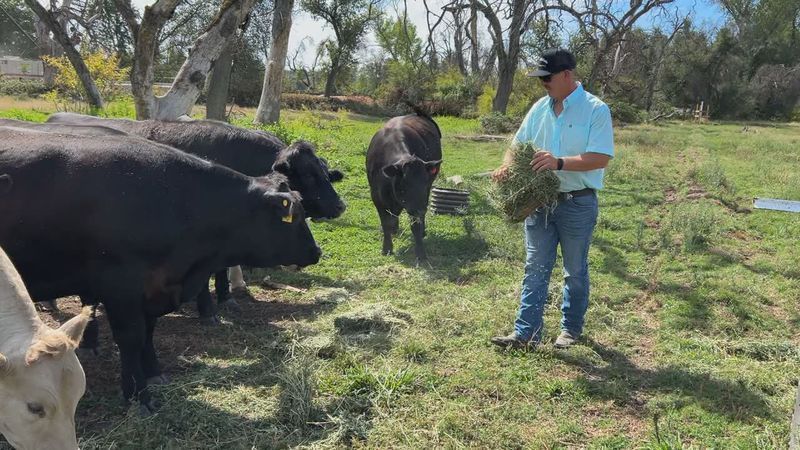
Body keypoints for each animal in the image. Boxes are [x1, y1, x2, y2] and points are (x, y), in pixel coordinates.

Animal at [0, 127, 321, 413]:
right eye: (293, 216)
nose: (316, 252)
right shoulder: (120, 287)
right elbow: (131, 338)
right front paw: (137, 396)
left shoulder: (154, 287)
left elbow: (149, 333)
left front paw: (154, 373)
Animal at [366, 109, 442, 263]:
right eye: (405, 184)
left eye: (424, 183)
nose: (421, 210)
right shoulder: (377, 198)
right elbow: (386, 223)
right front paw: (387, 248)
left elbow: (415, 226)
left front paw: (420, 253)